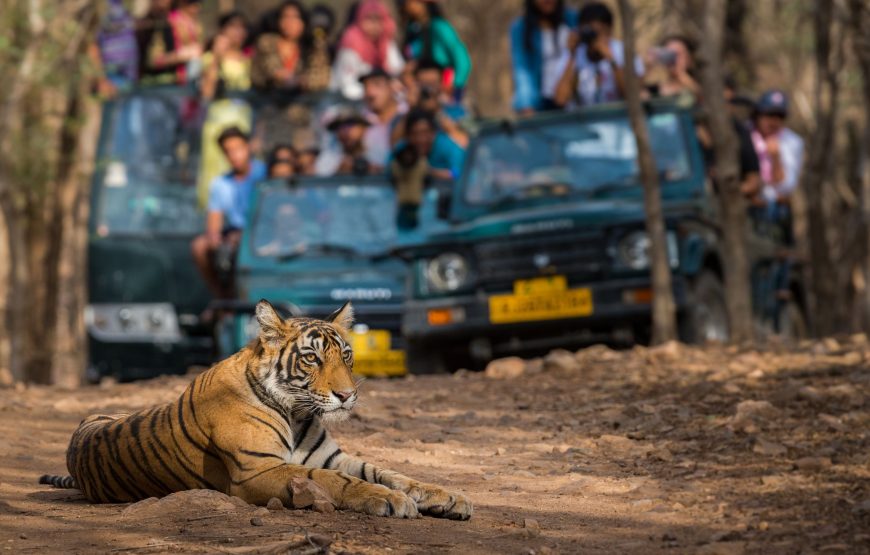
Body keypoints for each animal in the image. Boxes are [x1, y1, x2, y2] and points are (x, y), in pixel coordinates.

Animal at [39, 300, 472, 520]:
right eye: (313, 358)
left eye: (346, 355)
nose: (347, 395)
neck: (297, 412)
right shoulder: (257, 470)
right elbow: (337, 481)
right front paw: (391, 500)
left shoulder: (332, 456)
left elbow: (390, 472)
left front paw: (448, 497)